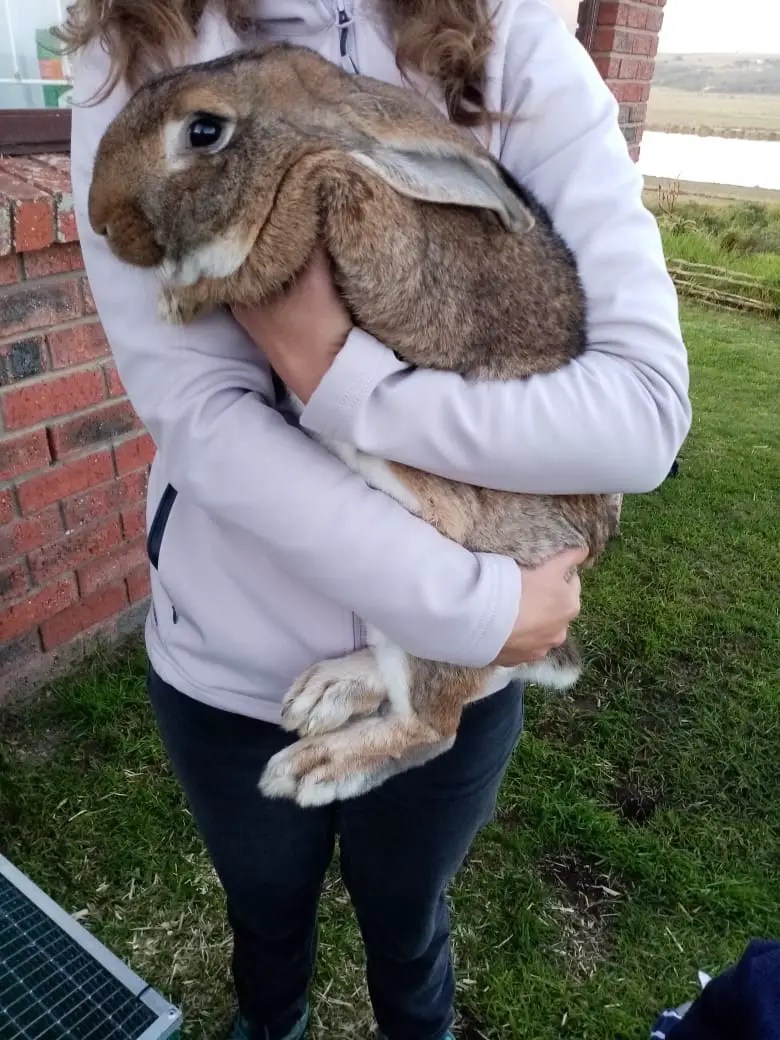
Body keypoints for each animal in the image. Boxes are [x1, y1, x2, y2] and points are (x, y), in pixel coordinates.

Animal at [86, 40, 624, 807]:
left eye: (203, 131)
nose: (101, 219)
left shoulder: (350, 208)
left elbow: (298, 204)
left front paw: (184, 298)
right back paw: (329, 689)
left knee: (433, 724)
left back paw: (314, 768)